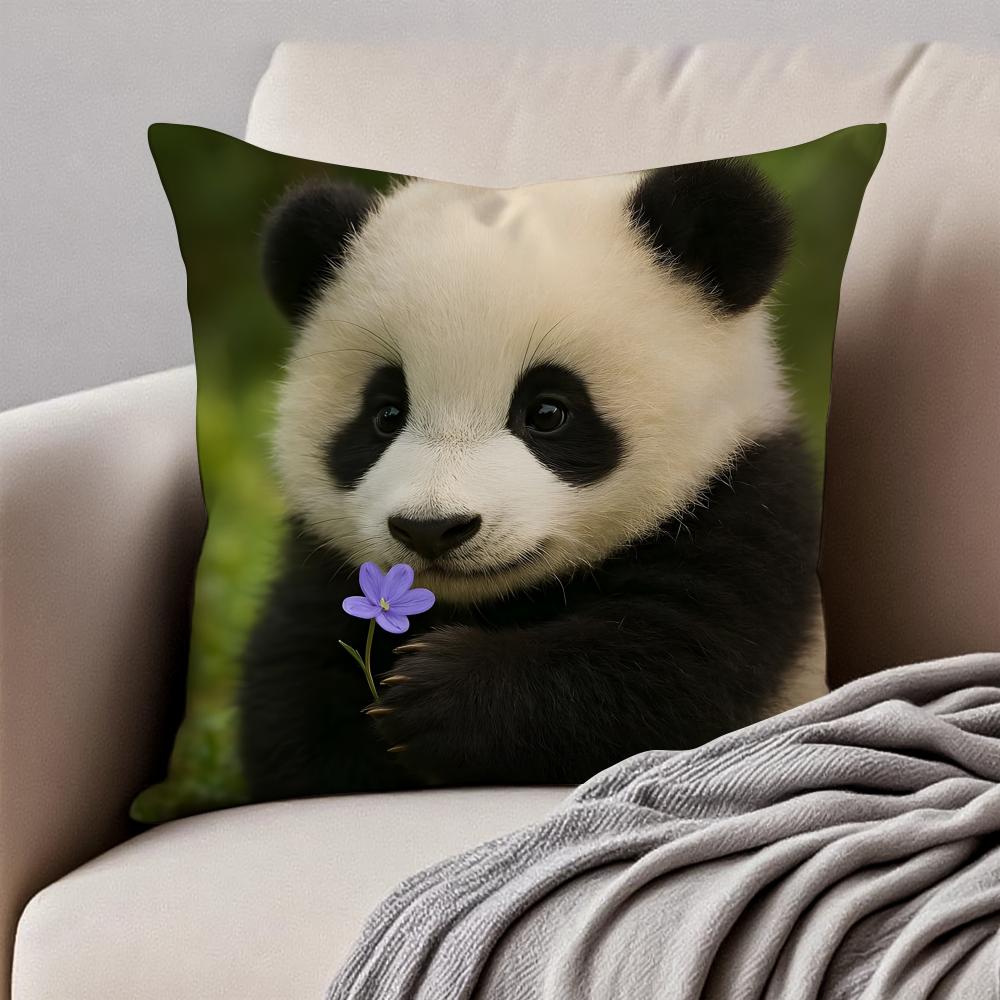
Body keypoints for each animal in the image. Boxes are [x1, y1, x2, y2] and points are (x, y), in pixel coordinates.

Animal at [239, 160, 825, 801]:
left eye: (547, 412)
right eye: (386, 414)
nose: (432, 529)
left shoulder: (746, 514)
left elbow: (667, 669)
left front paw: (436, 694)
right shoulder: (325, 568)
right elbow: (294, 691)